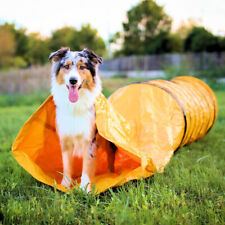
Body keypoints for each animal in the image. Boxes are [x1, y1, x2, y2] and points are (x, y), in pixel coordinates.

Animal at [48, 47, 113, 192]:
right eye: (66, 66)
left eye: (82, 67)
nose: (73, 80)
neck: (75, 105)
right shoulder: (65, 139)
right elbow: (67, 166)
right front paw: (65, 186)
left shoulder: (89, 140)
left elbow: (87, 167)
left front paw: (84, 189)